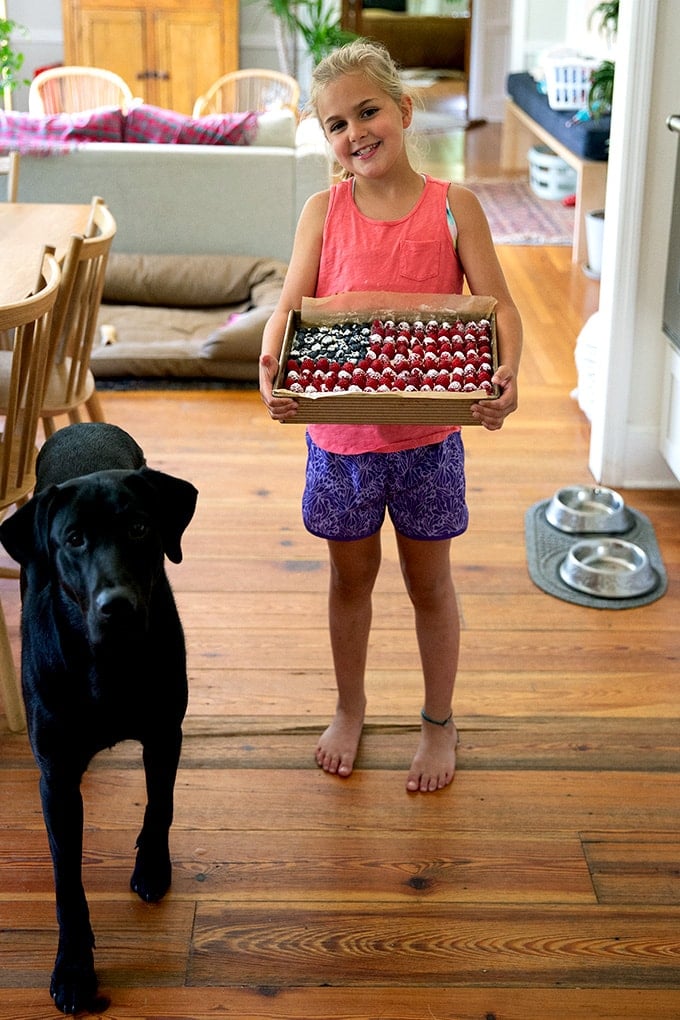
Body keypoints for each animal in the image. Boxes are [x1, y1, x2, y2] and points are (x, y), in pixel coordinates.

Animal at [0, 422, 196, 1011]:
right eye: (73, 540)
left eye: (139, 527)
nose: (118, 606)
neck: (109, 662)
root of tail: (85, 425)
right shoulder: (57, 777)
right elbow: (67, 882)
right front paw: (73, 969)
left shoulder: (164, 733)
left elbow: (160, 804)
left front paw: (151, 866)